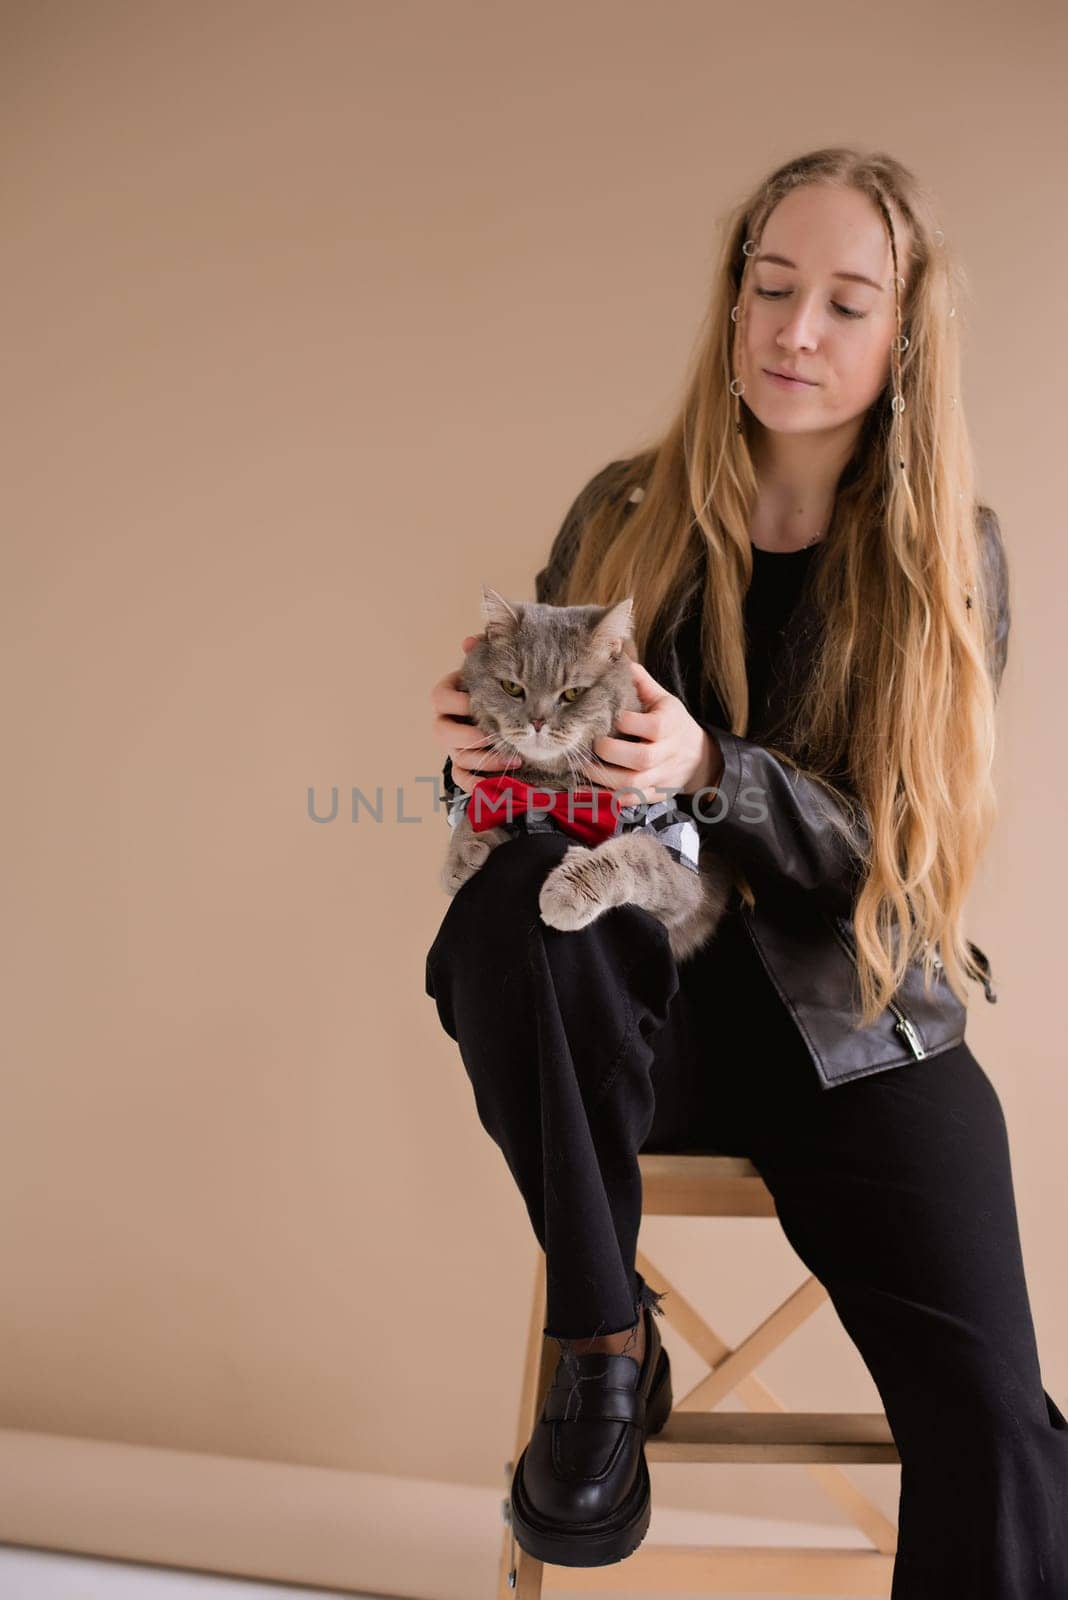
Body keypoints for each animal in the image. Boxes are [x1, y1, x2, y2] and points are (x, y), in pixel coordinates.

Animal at [441, 588, 735, 960]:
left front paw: (569, 889)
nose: (537, 721)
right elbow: (479, 808)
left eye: (573, 693)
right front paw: (462, 851)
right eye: (512, 687)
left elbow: (634, 855)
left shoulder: (683, 868)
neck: (550, 789)